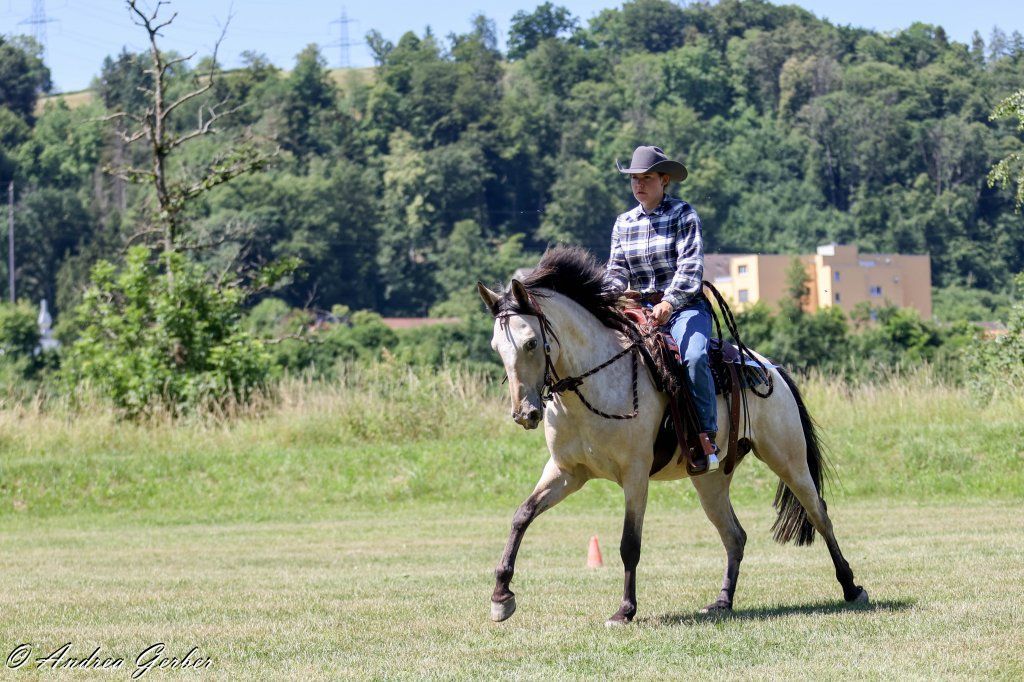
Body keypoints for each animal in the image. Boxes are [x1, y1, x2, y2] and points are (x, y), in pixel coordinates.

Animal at [477, 246, 868, 626]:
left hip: (788, 459)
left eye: (530, 343)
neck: (593, 383)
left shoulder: (635, 474)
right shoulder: (566, 472)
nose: (524, 413)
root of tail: (769, 367)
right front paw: (501, 597)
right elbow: (522, 515)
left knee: (819, 514)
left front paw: (625, 610)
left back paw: (851, 587)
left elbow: (629, 544)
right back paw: (722, 602)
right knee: (734, 535)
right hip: (711, 480)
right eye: (497, 347)